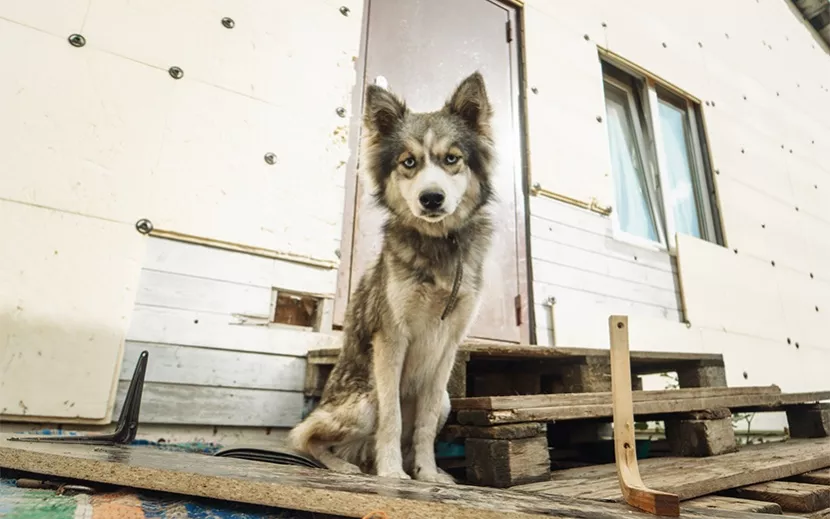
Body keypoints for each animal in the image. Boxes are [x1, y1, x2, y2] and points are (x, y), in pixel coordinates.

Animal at [288, 72, 494, 484]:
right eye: (408, 162)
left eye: (452, 159)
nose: (431, 198)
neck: (438, 246)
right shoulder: (391, 338)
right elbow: (392, 418)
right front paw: (392, 473)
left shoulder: (448, 348)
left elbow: (424, 426)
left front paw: (427, 475)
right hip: (363, 401)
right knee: (305, 437)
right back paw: (350, 467)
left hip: (446, 399)